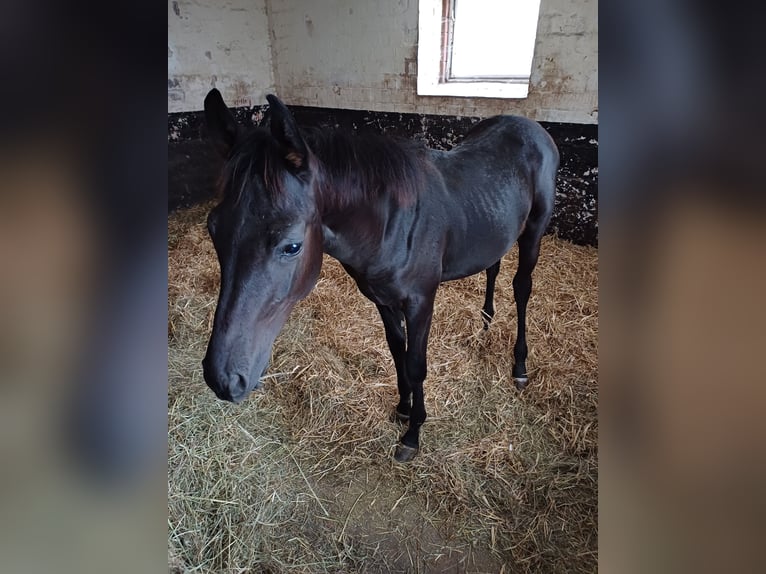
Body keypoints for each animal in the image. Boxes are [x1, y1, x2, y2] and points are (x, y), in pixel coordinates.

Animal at [201, 91, 560, 464]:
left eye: (293, 245)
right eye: (213, 229)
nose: (223, 379)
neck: (391, 221)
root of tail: (531, 127)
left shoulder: (420, 301)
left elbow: (416, 364)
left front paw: (413, 434)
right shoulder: (382, 298)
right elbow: (396, 351)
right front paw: (402, 407)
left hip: (534, 231)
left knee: (522, 288)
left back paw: (520, 366)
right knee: (493, 267)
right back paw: (486, 321)